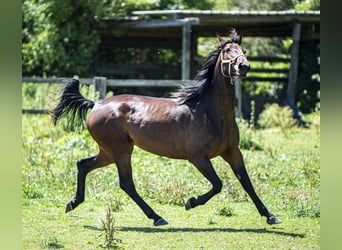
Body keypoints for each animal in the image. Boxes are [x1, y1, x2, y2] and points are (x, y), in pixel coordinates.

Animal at [50, 28, 280, 226]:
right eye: (227, 51)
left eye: (244, 51)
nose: (244, 67)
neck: (210, 112)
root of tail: (96, 104)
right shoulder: (198, 157)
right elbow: (218, 184)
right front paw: (190, 202)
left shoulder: (232, 152)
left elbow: (246, 183)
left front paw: (270, 216)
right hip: (120, 151)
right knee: (126, 184)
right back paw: (157, 217)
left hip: (108, 152)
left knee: (83, 165)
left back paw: (73, 203)